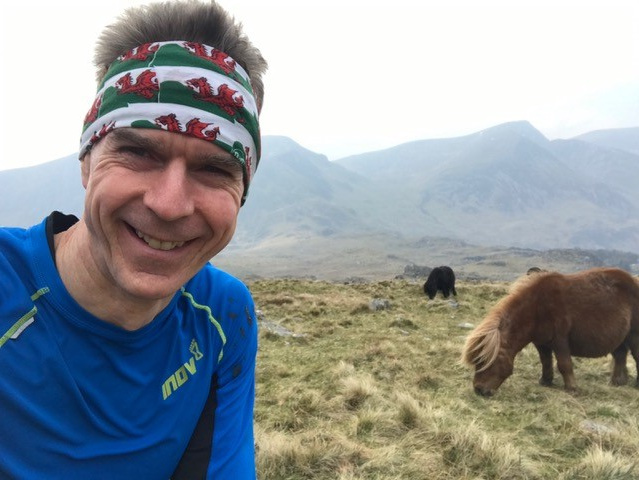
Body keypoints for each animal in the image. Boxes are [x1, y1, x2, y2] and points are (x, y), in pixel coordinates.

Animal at [462, 268, 639, 396]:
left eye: (483, 362)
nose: (478, 390)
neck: (537, 308)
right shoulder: (542, 343)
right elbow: (545, 361)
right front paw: (545, 381)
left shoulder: (560, 341)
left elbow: (564, 364)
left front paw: (572, 388)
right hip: (619, 337)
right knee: (620, 355)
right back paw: (616, 382)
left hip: (633, 335)